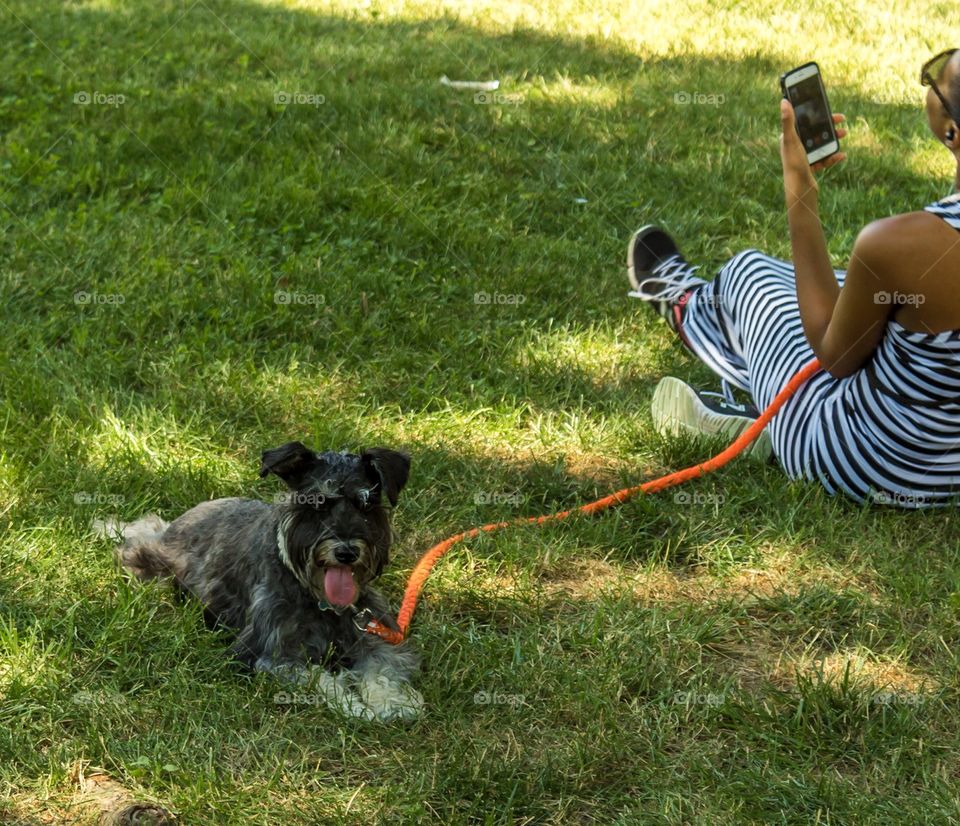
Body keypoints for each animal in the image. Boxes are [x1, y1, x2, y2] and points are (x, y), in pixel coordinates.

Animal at [99, 440, 422, 716]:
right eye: (317, 503)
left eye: (366, 505)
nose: (346, 551)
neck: (318, 599)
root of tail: (180, 521)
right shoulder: (272, 654)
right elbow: (321, 680)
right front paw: (353, 705)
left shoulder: (375, 636)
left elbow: (383, 669)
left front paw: (392, 703)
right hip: (157, 560)